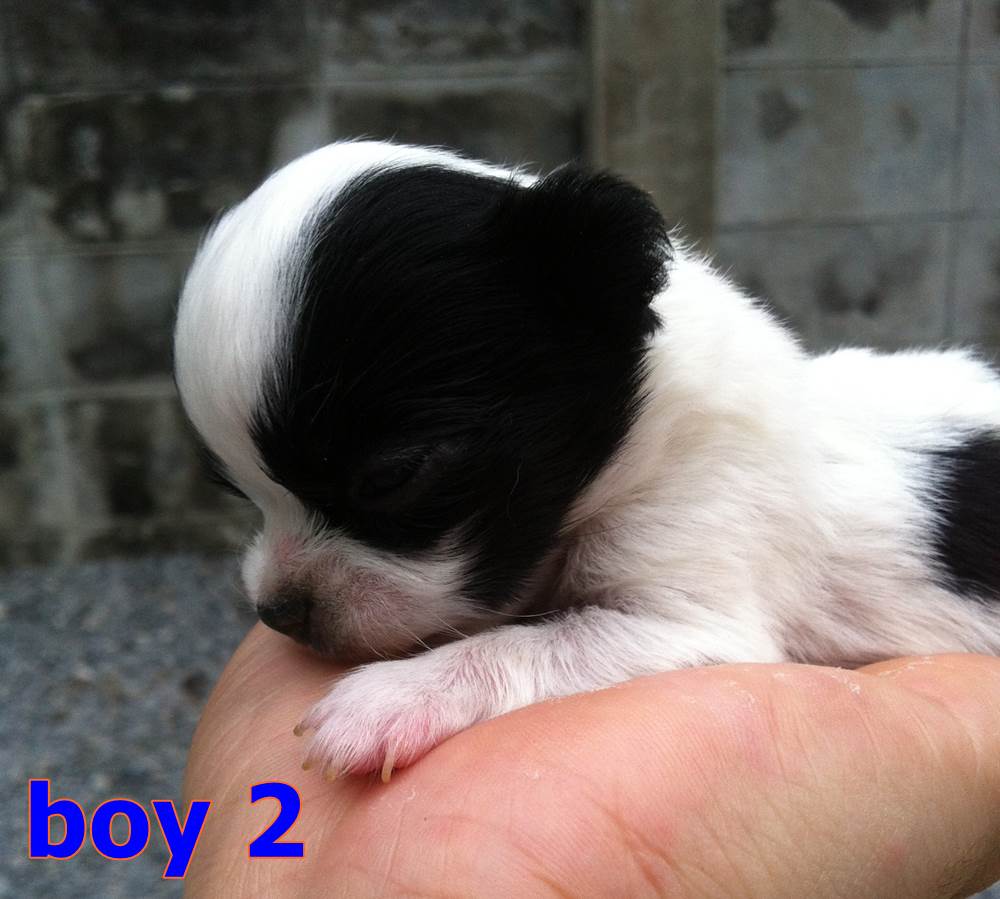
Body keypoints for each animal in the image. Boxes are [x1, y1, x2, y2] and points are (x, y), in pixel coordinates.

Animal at [174, 140, 1000, 781]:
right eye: (234, 489)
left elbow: (527, 641)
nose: (277, 611)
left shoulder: (696, 614)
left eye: (389, 478)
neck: (651, 436)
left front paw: (396, 696)